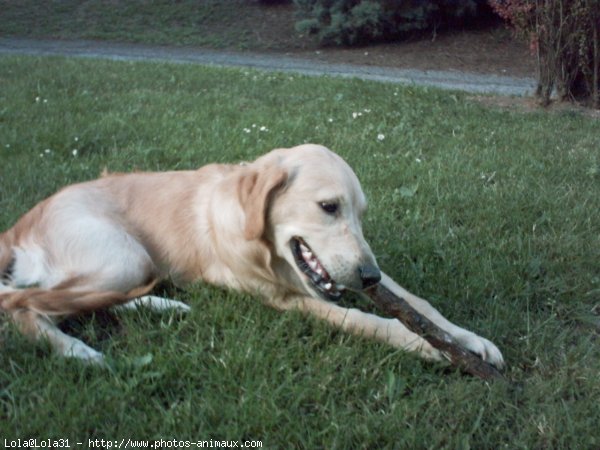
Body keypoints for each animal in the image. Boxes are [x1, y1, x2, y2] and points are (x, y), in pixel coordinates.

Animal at [0, 145, 504, 370]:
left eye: (361, 214)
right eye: (329, 206)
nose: (368, 276)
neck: (264, 249)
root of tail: (21, 223)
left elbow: (419, 303)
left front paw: (469, 339)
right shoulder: (284, 299)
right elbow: (367, 320)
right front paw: (428, 346)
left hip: (128, 266)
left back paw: (163, 305)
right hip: (124, 256)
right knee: (21, 305)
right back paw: (78, 352)